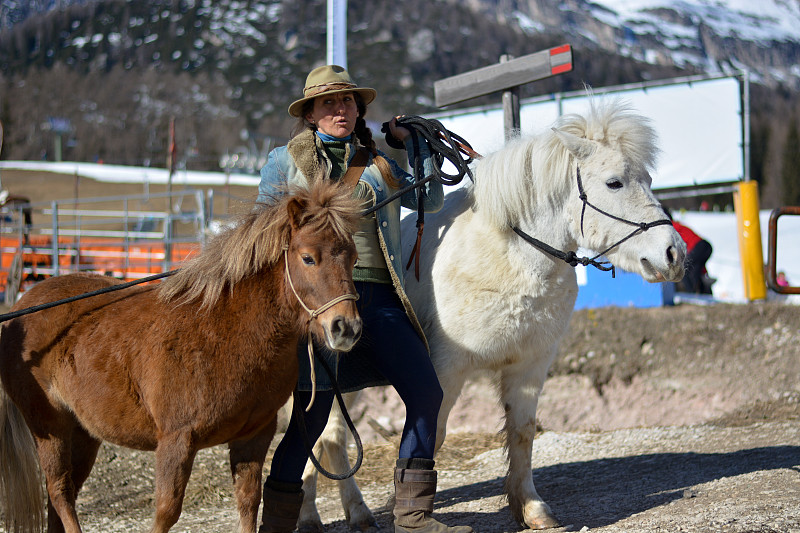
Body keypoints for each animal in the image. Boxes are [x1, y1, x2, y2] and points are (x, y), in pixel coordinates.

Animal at [0, 180, 362, 532]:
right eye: (308, 258)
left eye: (354, 259)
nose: (346, 327)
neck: (228, 329)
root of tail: (19, 309)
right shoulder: (177, 441)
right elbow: (166, 512)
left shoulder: (253, 438)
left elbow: (248, 505)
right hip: (50, 427)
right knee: (59, 491)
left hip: (84, 433)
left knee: (62, 498)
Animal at [296, 98, 684, 528]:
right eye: (614, 182)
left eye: (648, 179)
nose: (674, 254)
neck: (510, 256)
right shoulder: (444, 370)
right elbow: (432, 435)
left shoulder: (530, 365)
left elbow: (523, 433)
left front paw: (531, 508)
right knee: (317, 438)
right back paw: (313, 515)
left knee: (328, 439)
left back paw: (355, 514)